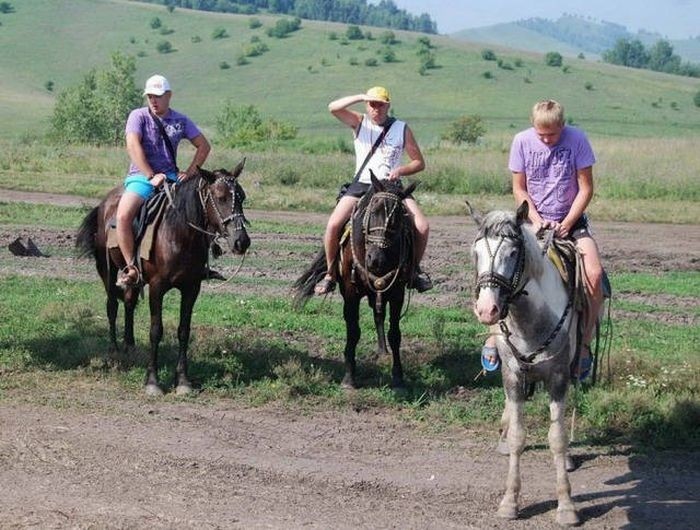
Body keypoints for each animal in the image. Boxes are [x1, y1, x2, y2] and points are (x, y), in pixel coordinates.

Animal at [76, 161, 250, 396]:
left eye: (242, 197)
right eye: (221, 197)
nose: (242, 241)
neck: (179, 234)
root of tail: (104, 204)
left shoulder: (191, 288)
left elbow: (184, 331)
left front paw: (183, 381)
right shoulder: (157, 288)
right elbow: (156, 331)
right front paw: (152, 381)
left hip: (133, 279)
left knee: (129, 303)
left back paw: (129, 345)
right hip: (107, 270)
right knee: (112, 306)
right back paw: (113, 350)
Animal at [294, 175, 416, 386]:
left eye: (398, 218)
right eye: (372, 211)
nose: (375, 259)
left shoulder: (397, 292)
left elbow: (395, 333)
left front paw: (398, 376)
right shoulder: (350, 292)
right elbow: (353, 331)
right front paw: (349, 377)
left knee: (379, 314)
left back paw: (383, 351)